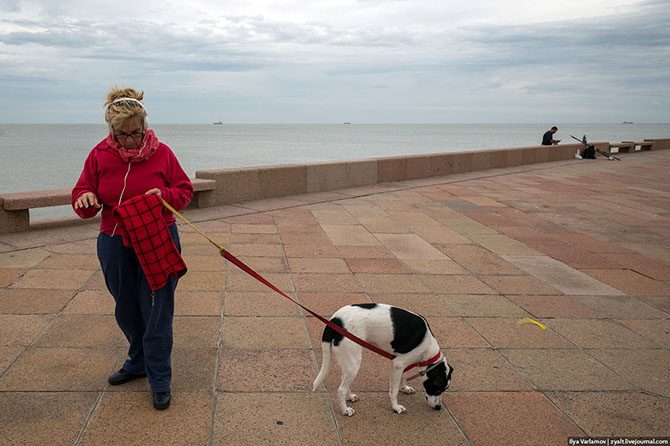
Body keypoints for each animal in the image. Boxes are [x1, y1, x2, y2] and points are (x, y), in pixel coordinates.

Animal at [312, 304, 454, 414]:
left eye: (445, 389)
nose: (438, 407)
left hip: (349, 361)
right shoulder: (398, 364)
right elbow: (394, 391)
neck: (429, 350)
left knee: (344, 379)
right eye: (437, 388)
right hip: (354, 363)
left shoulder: (401, 365)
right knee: (341, 390)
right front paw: (396, 407)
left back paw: (350, 396)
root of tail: (335, 320)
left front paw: (405, 388)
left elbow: (403, 377)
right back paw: (345, 410)